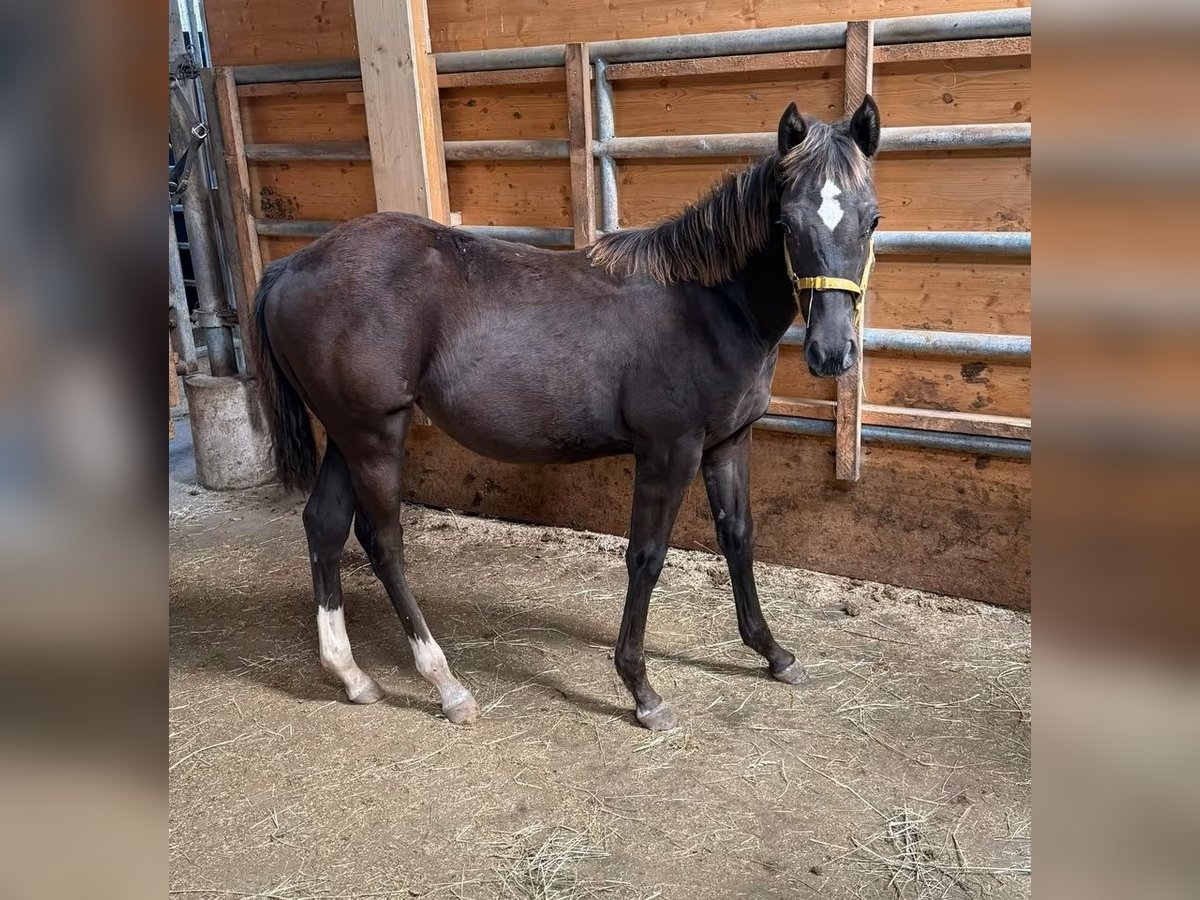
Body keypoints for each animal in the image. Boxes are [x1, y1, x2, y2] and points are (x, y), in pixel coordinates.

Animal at [252, 97, 881, 731]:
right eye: (786, 223)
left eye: (871, 220)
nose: (832, 352)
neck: (706, 305)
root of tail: (292, 266)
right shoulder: (670, 450)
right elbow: (646, 556)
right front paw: (641, 689)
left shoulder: (728, 443)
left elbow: (740, 538)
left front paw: (773, 653)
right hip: (374, 434)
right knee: (382, 541)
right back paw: (446, 684)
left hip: (346, 434)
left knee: (325, 525)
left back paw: (352, 675)